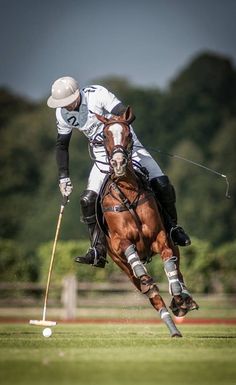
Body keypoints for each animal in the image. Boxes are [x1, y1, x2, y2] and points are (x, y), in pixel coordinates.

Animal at [95, 106, 197, 334]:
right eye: (104, 136)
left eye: (128, 134)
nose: (118, 164)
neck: (128, 192)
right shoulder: (120, 241)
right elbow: (134, 258)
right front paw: (145, 276)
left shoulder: (161, 237)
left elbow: (170, 264)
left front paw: (178, 295)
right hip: (121, 265)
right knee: (151, 293)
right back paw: (172, 328)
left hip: (173, 241)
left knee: (177, 269)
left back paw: (183, 301)